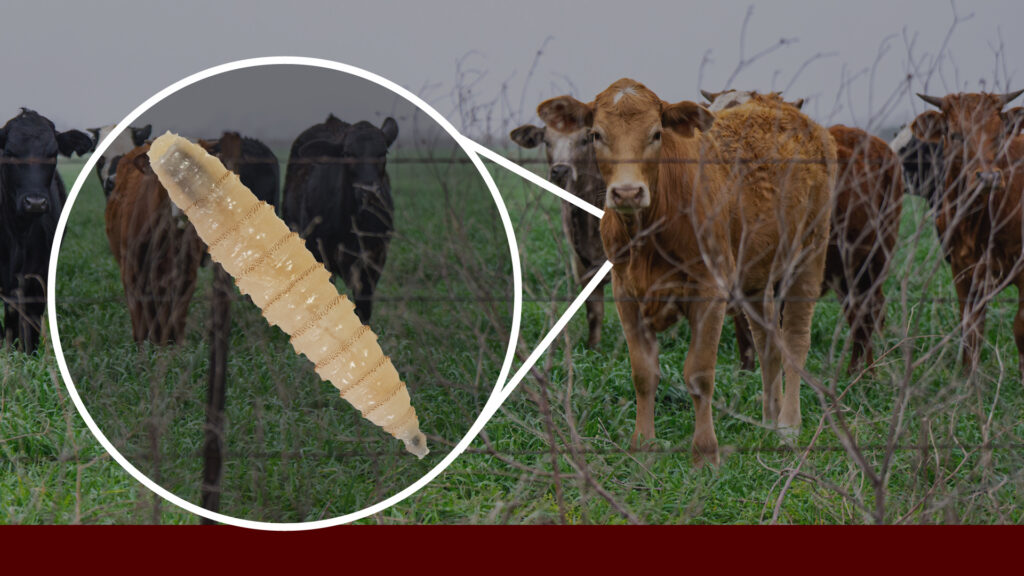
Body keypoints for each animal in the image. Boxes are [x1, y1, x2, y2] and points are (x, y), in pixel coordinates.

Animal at [282, 114, 398, 322]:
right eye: (347, 153)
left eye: (383, 152)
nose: (369, 191)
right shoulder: (319, 255)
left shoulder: (374, 262)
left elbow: (363, 310)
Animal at [510, 110, 757, 367]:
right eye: (547, 142)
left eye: (584, 140)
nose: (560, 171)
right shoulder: (582, 265)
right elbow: (594, 313)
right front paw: (593, 350)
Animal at [542, 80, 836, 464]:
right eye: (595, 135)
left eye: (656, 133)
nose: (627, 192)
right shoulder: (625, 293)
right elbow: (643, 374)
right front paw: (643, 445)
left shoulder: (709, 293)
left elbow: (699, 373)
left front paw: (705, 452)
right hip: (756, 279)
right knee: (767, 342)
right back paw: (768, 421)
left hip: (809, 254)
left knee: (796, 340)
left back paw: (788, 425)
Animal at [703, 91, 905, 373]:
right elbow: (744, 330)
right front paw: (746, 373)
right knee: (859, 312)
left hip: (870, 260)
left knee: (868, 312)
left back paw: (864, 372)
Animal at [910, 90, 1024, 375]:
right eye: (955, 134)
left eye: (1000, 133)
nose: (988, 177)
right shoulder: (962, 269)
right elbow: (970, 328)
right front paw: (966, 378)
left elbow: (1020, 327)